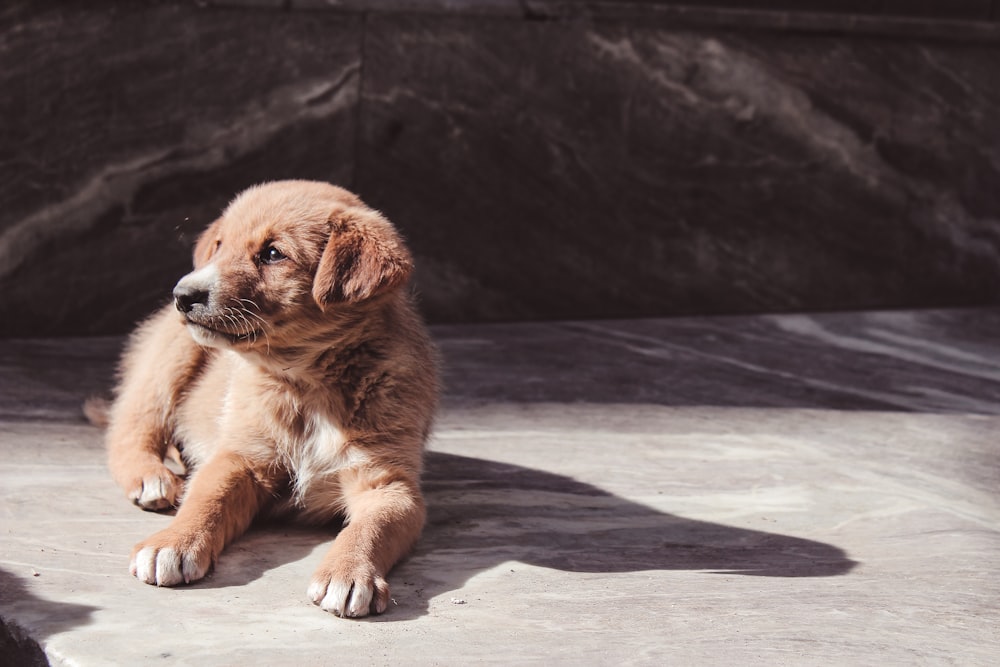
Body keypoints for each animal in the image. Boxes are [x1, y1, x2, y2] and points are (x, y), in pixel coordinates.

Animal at [103, 180, 440, 620]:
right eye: (218, 246)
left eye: (273, 254)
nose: (183, 294)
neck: (306, 387)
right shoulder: (241, 456)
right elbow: (206, 498)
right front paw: (172, 542)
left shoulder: (387, 483)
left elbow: (371, 528)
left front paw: (348, 573)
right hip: (168, 357)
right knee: (130, 428)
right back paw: (151, 476)